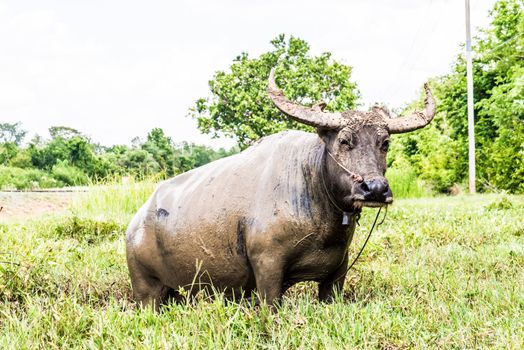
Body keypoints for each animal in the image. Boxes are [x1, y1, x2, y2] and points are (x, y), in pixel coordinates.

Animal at [126, 67, 434, 306]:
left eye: (385, 142)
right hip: (146, 290)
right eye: (345, 141)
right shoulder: (267, 267)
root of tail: (135, 224)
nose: (375, 189)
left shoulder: (337, 273)